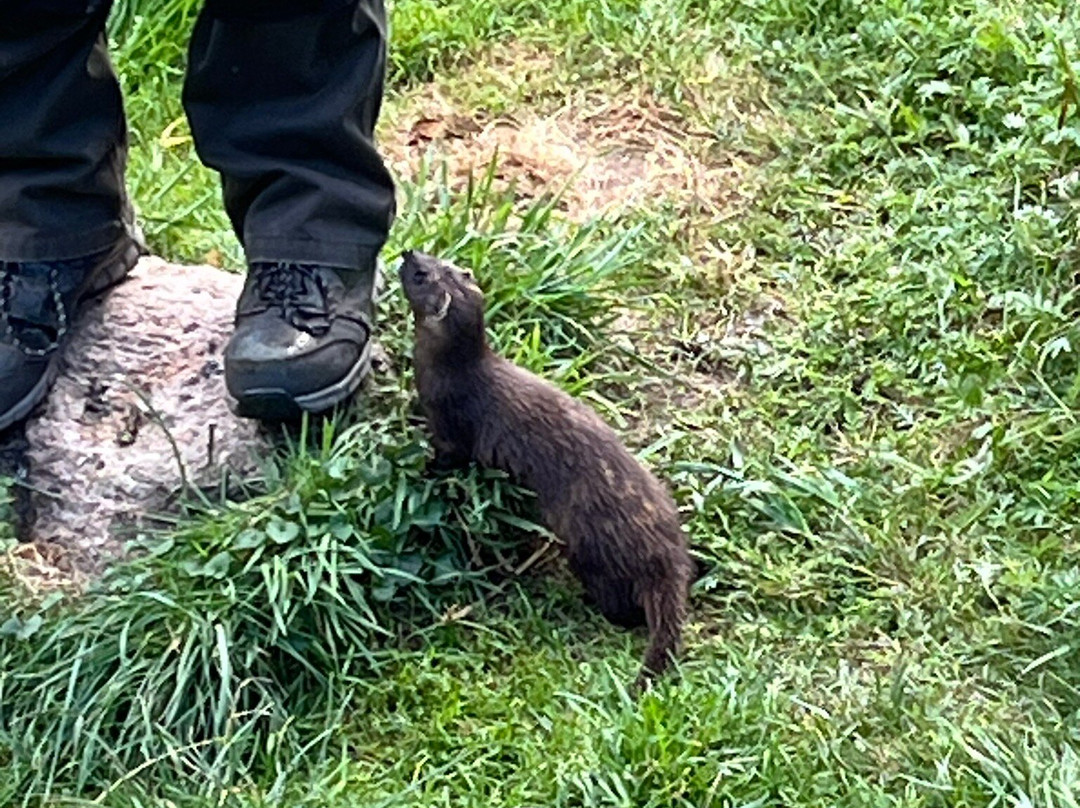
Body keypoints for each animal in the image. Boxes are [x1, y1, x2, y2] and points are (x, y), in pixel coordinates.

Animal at [398, 250, 693, 690]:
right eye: (442, 261)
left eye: (420, 274)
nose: (407, 253)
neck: (449, 372)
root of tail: (665, 553)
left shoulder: (452, 424)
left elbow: (450, 456)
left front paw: (421, 467)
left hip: (590, 551)